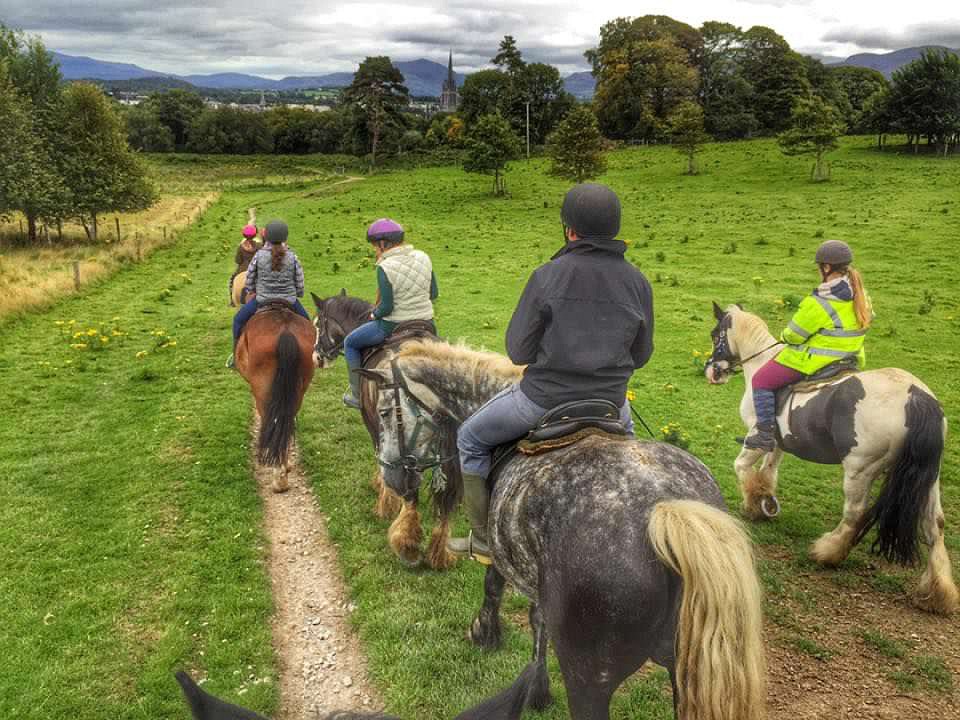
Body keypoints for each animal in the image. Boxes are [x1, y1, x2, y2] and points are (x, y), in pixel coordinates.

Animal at [235, 304, 316, 496]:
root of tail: (285, 332)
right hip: (298, 389)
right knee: (287, 420)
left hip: (262, 390)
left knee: (271, 420)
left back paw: (278, 478)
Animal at [312, 290, 462, 572]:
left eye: (318, 324)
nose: (316, 357)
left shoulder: (374, 424)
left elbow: (379, 454)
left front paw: (384, 497)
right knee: (446, 499)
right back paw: (439, 552)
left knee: (411, 490)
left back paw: (406, 544)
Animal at [356, 340, 768, 720]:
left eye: (384, 411)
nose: (392, 479)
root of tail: (666, 510)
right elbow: (538, 619)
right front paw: (538, 687)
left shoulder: (500, 547)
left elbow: (493, 586)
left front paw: (484, 631)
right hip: (684, 674)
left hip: (589, 677)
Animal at [700, 300, 956, 616]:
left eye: (715, 334)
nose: (712, 372)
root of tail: (917, 396)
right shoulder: (777, 443)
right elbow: (768, 472)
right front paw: (764, 502)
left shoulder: (756, 436)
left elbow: (742, 468)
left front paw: (752, 504)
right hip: (929, 477)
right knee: (935, 525)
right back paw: (938, 593)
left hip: (860, 470)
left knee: (855, 515)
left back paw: (826, 552)